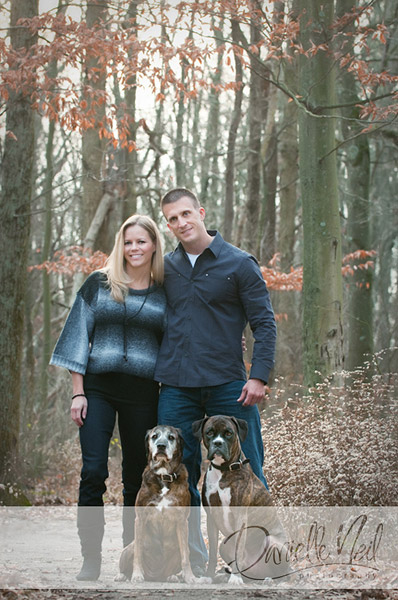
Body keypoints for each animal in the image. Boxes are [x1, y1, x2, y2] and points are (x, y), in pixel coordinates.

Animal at [116, 424, 208, 584]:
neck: (164, 476)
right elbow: (138, 554)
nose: (161, 446)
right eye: (154, 436)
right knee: (132, 554)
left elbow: (185, 557)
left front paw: (190, 577)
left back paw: (172, 577)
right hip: (129, 547)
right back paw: (123, 575)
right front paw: (136, 575)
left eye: (171, 437)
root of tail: (154, 576)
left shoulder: (182, 520)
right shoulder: (140, 519)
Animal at [193, 414, 290, 584]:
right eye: (209, 432)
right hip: (224, 545)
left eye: (228, 433)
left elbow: (238, 549)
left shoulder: (240, 517)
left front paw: (235, 579)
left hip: (273, 543)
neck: (223, 470)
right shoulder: (211, 518)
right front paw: (209, 576)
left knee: (287, 573)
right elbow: (212, 553)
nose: (218, 443)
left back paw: (273, 580)